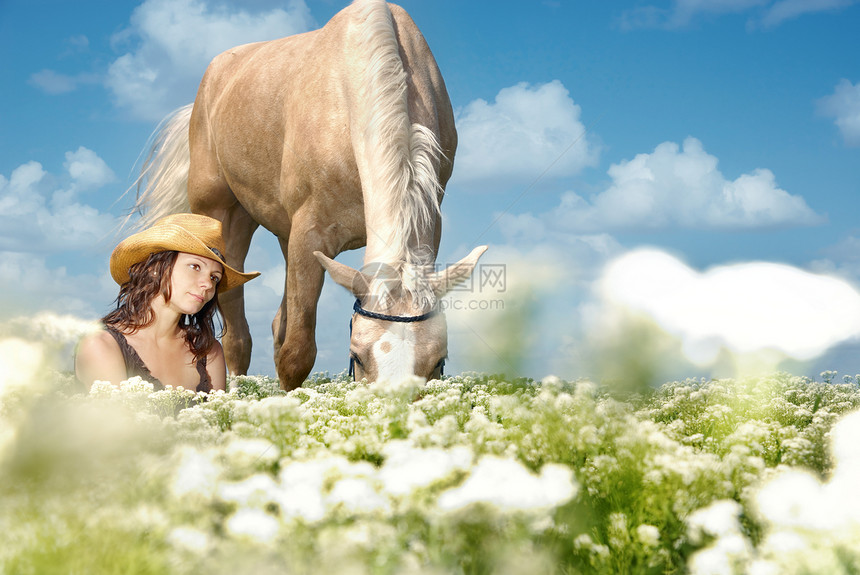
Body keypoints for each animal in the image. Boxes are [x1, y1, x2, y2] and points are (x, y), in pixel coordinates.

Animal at [133, 0, 484, 392]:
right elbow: (296, 352)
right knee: (236, 327)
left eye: (439, 361)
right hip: (224, 214)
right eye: (357, 355)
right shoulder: (309, 235)